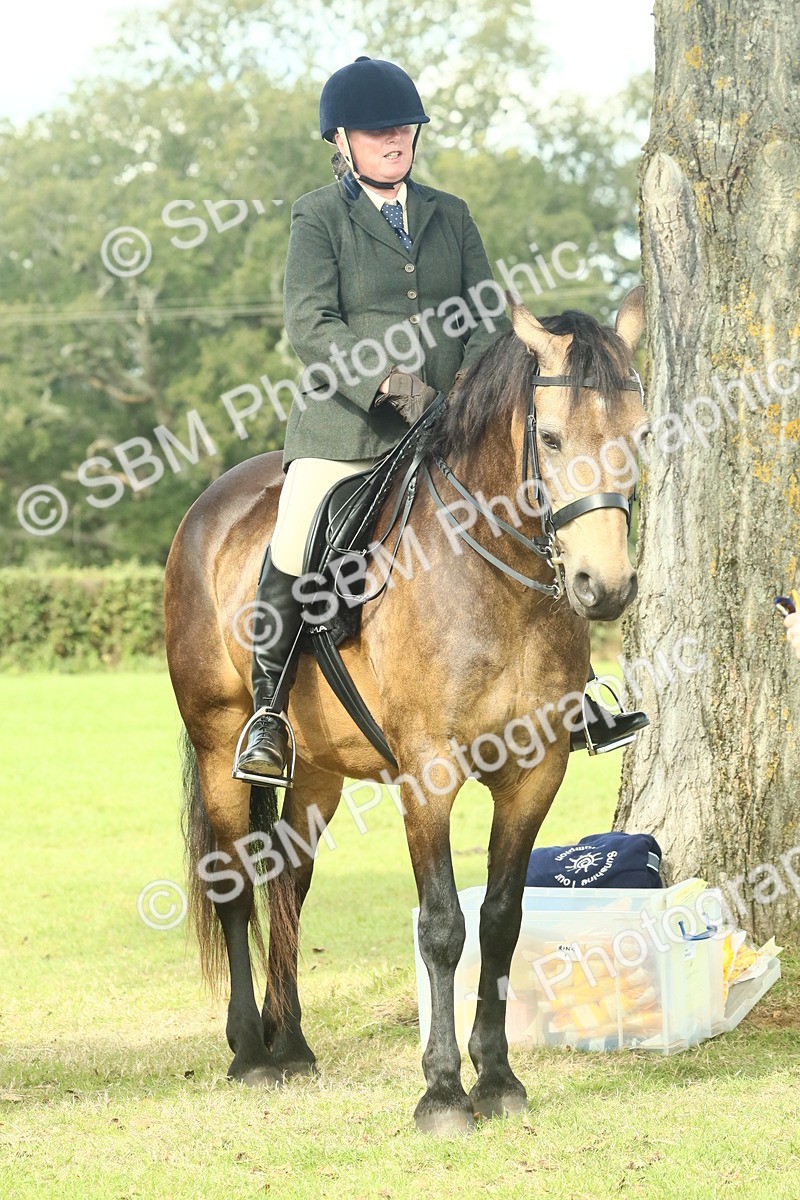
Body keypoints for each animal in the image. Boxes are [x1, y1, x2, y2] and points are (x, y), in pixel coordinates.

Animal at [164, 288, 648, 1134]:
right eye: (551, 438)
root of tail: (208, 509)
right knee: (233, 884)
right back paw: (251, 1052)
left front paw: (499, 1079)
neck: (497, 576)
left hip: (318, 768)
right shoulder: (428, 776)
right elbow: (443, 926)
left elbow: (500, 919)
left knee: (289, 883)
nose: (606, 586)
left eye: (641, 435)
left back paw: (292, 1043)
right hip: (219, 738)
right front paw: (444, 1092)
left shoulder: (535, 775)